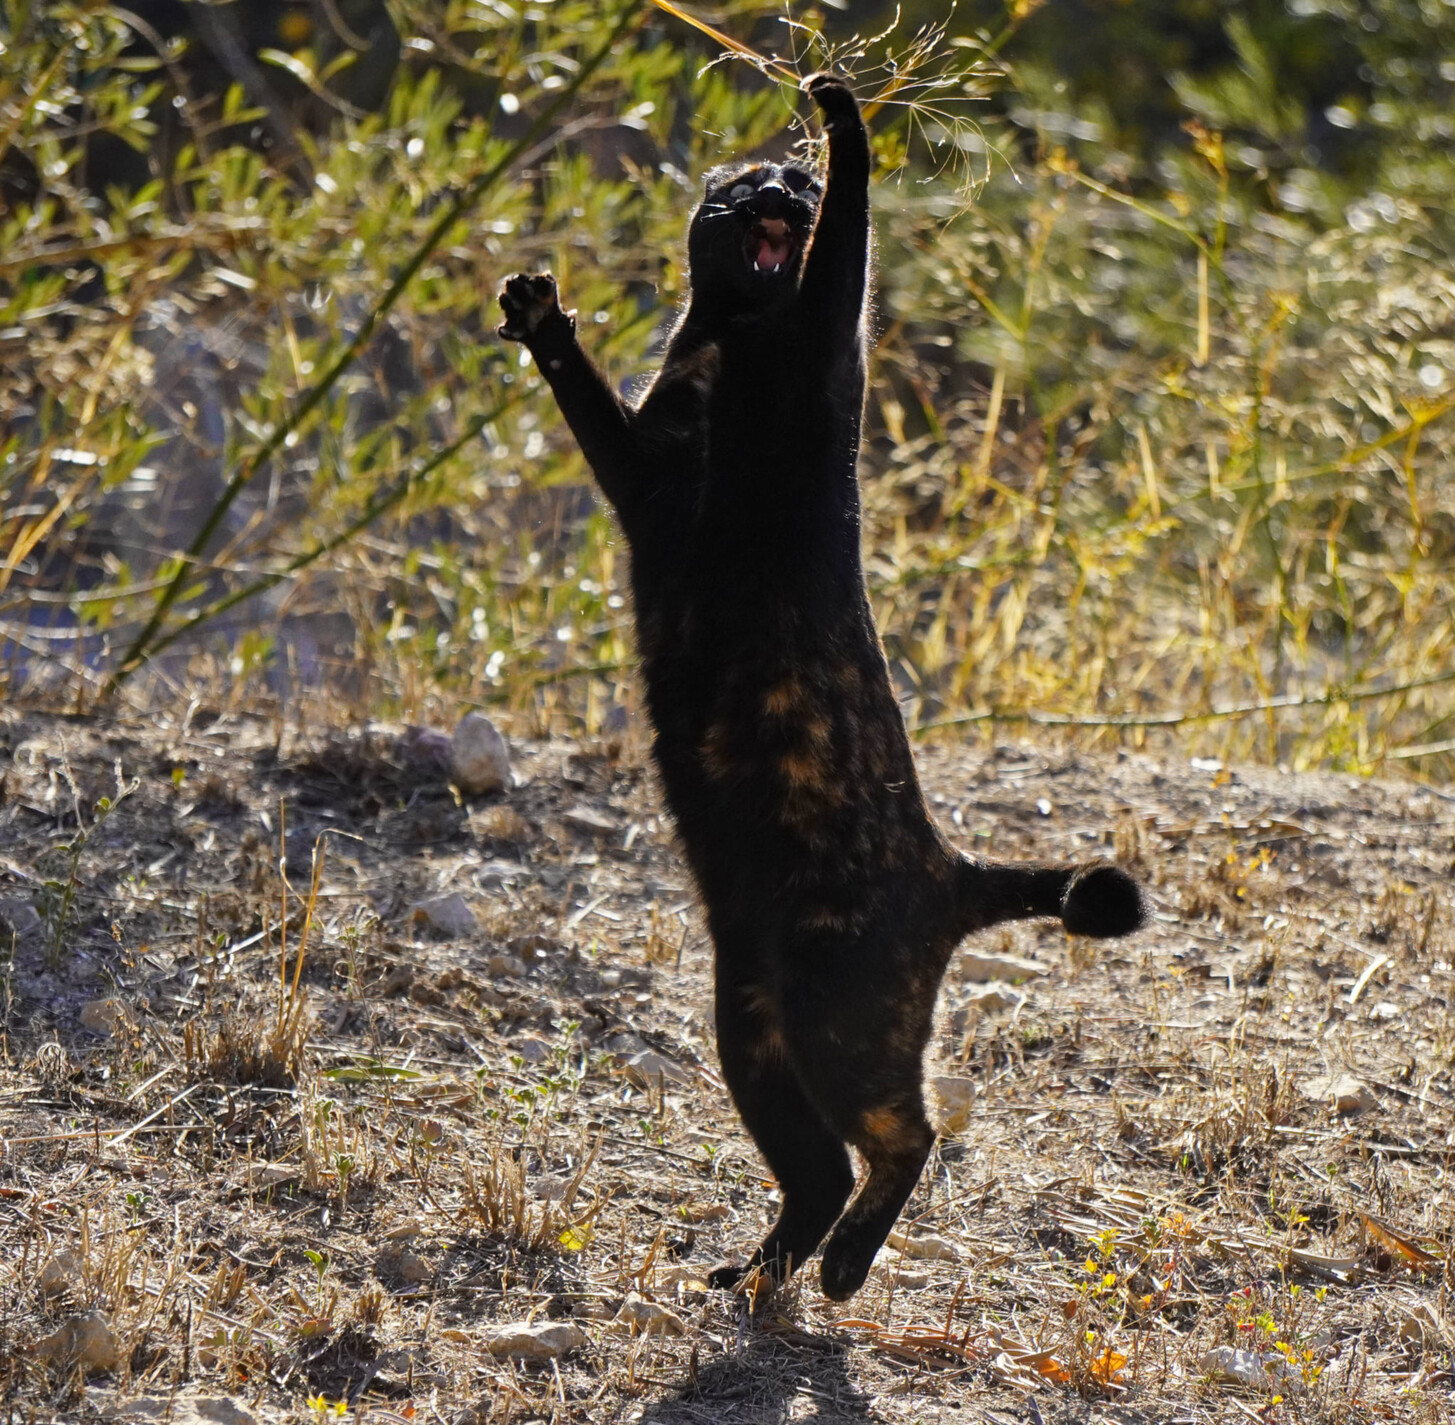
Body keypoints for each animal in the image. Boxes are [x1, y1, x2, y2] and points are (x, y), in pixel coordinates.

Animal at [500, 75, 1146, 1304]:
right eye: (740, 180)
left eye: (791, 178)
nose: (774, 185)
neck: (733, 338)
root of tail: (952, 872)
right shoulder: (648, 466)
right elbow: (598, 402)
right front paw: (534, 310)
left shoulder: (812, 346)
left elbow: (853, 235)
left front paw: (844, 113)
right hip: (749, 1024)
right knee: (820, 1167)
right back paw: (766, 1268)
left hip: (831, 1019)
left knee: (908, 1134)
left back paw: (843, 1264)